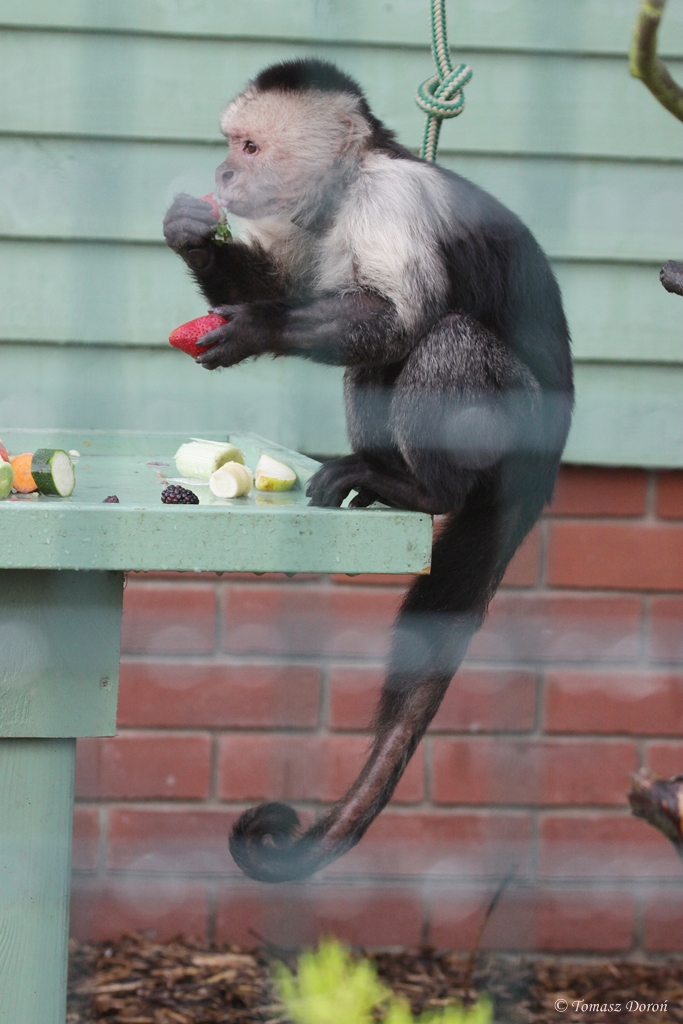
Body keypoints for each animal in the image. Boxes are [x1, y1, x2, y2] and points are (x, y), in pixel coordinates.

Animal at [163, 58, 574, 882]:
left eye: (248, 147)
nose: (224, 172)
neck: (347, 190)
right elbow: (296, 292)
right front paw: (194, 236)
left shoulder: (393, 203)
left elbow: (396, 319)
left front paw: (255, 329)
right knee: (372, 363)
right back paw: (376, 468)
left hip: (518, 429)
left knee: (442, 337)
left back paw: (421, 487)